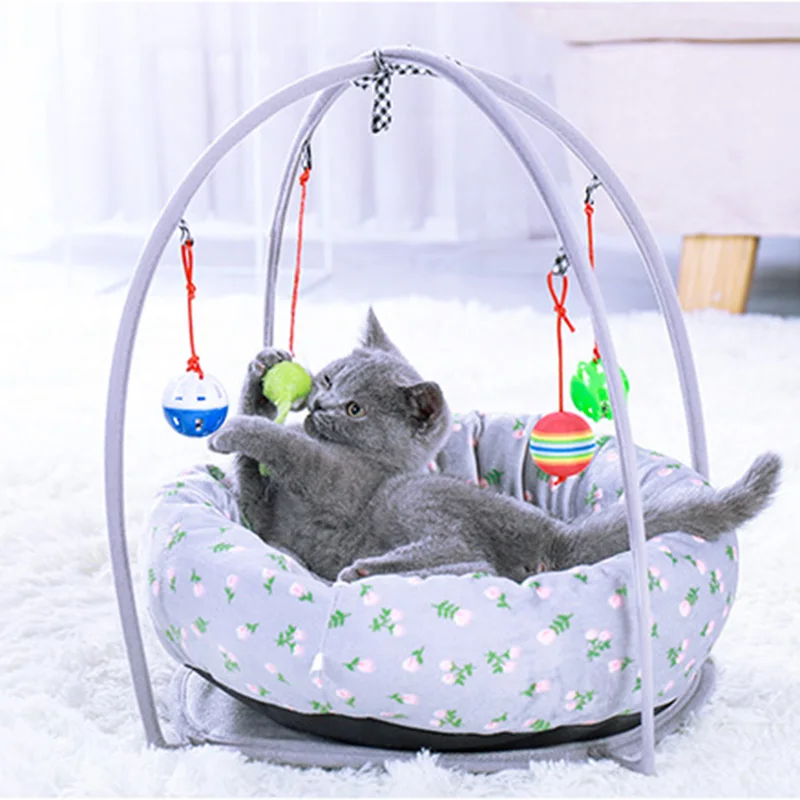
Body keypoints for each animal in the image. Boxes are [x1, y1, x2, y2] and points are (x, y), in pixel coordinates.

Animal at [208, 309, 782, 584]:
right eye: (327, 379)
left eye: (355, 410)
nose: (321, 406)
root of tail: (552, 536)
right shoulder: (266, 517)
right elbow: (250, 484)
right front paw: (262, 368)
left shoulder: (343, 479)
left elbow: (294, 450)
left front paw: (231, 430)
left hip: (415, 497)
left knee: (475, 559)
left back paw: (368, 569)